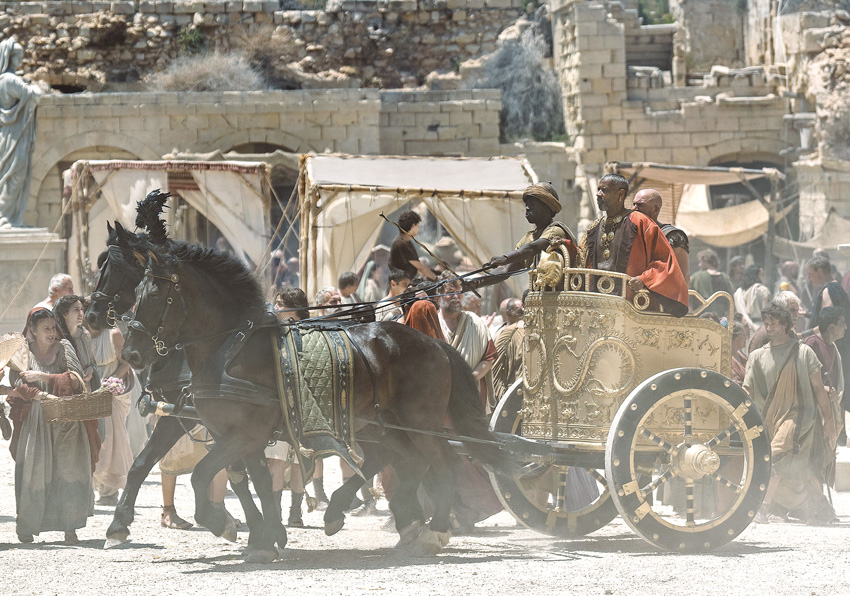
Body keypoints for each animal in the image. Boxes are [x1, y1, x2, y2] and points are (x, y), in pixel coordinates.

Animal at [121, 239, 512, 564]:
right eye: (133, 291)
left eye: (153, 296)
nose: (130, 354)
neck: (233, 348)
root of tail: (433, 343)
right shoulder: (234, 436)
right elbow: (252, 482)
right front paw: (264, 538)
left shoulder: (243, 435)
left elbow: (203, 476)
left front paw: (224, 523)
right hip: (385, 426)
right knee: (409, 462)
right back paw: (387, 517)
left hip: (420, 423)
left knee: (444, 462)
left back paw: (434, 529)